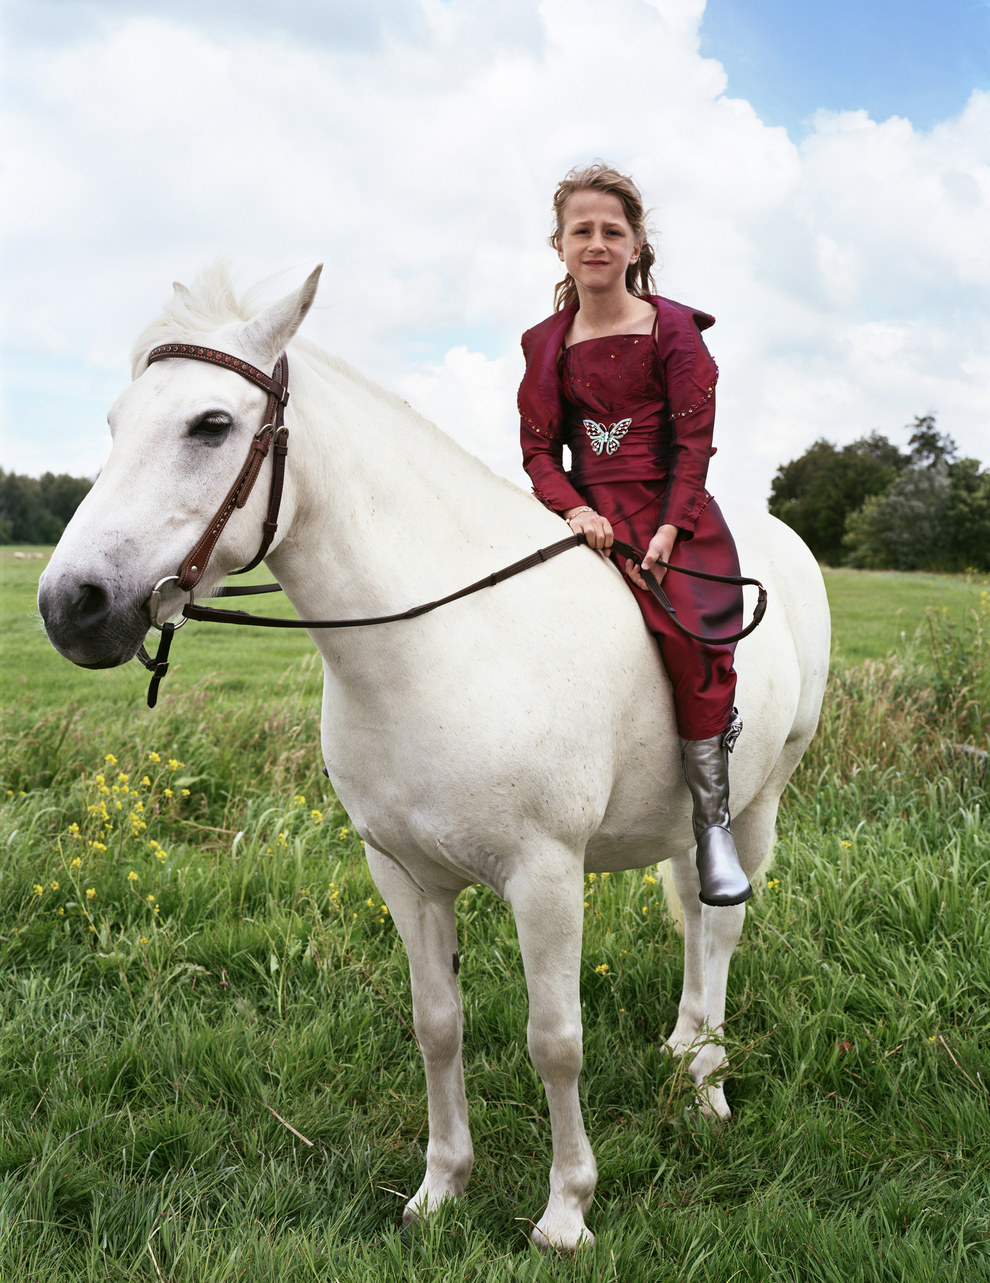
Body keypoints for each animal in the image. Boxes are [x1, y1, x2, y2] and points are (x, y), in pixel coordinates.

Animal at [38, 265, 825, 1247]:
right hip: (683, 819)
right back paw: (686, 1045)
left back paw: (707, 1080)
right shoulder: (404, 874)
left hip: (759, 799)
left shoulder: (546, 876)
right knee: (689, 904)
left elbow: (554, 1039)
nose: (70, 604)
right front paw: (442, 1187)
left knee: (720, 922)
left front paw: (566, 1210)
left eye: (210, 424)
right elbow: (437, 1024)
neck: (444, 639)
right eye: (114, 423)